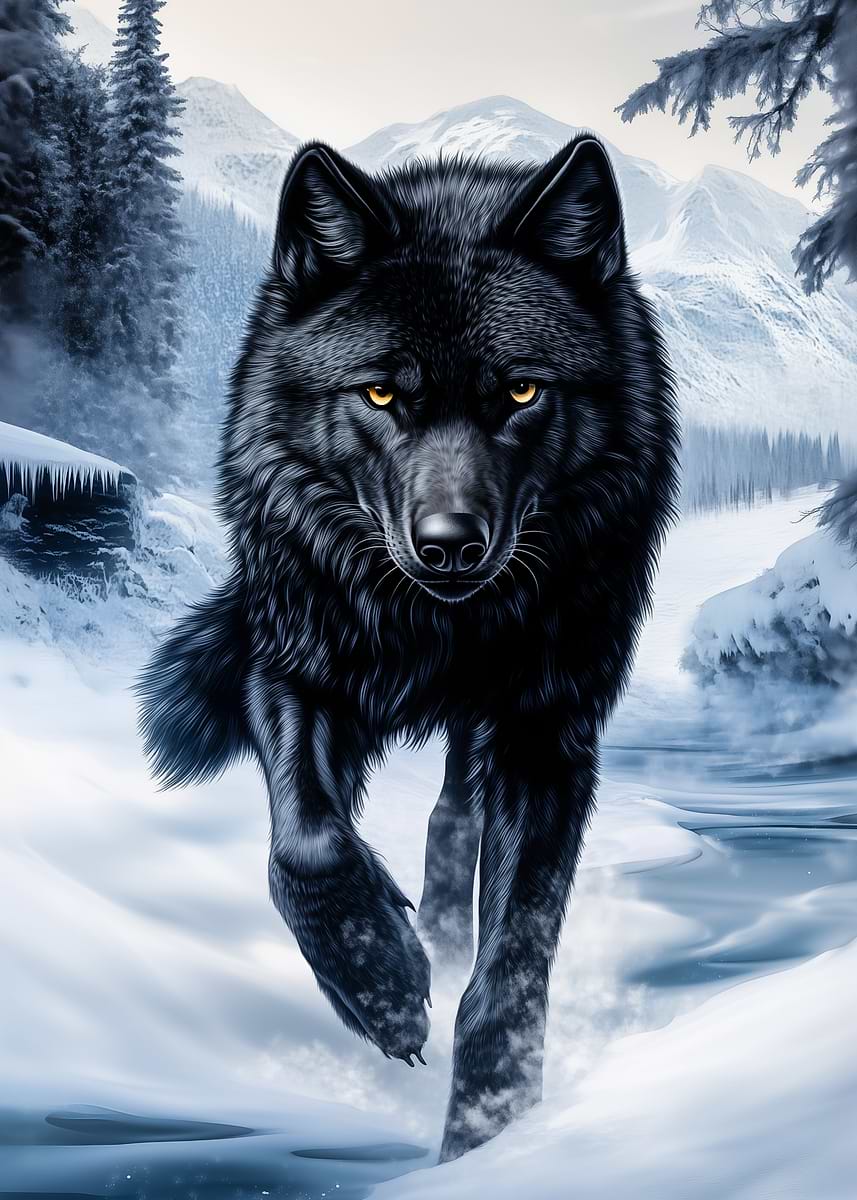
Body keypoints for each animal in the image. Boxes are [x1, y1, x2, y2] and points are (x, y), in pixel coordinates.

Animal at [138, 134, 679, 1161]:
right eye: (382, 392)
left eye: (520, 390)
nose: (449, 544)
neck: (435, 626)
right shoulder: (291, 661)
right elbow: (308, 846)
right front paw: (383, 990)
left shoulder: (547, 732)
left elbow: (513, 966)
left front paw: (486, 1129)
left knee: (453, 816)